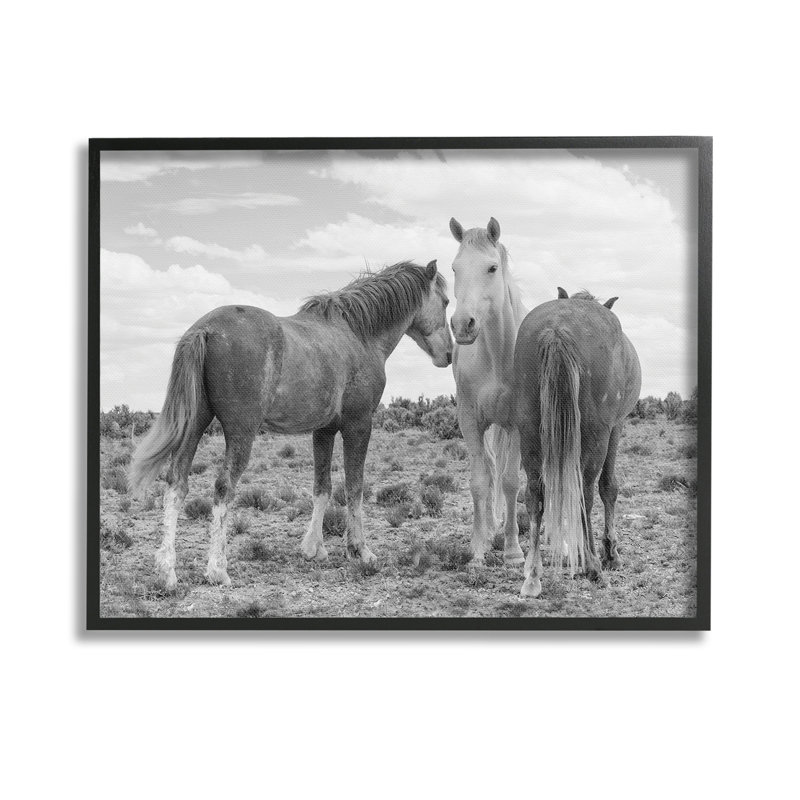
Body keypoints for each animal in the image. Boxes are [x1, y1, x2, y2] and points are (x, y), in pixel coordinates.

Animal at [129, 260, 453, 590]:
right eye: (446, 302)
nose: (449, 354)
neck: (359, 335)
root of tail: (204, 329)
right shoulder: (359, 425)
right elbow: (355, 487)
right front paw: (360, 550)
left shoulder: (324, 430)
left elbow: (322, 487)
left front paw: (313, 548)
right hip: (240, 434)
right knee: (223, 487)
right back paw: (217, 569)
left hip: (195, 425)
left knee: (177, 483)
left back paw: (167, 571)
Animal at [513, 289, 641, 598]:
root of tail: (557, 330)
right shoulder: (616, 427)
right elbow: (609, 487)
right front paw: (611, 554)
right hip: (596, 435)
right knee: (586, 492)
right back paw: (594, 566)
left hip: (529, 431)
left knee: (534, 494)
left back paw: (532, 576)